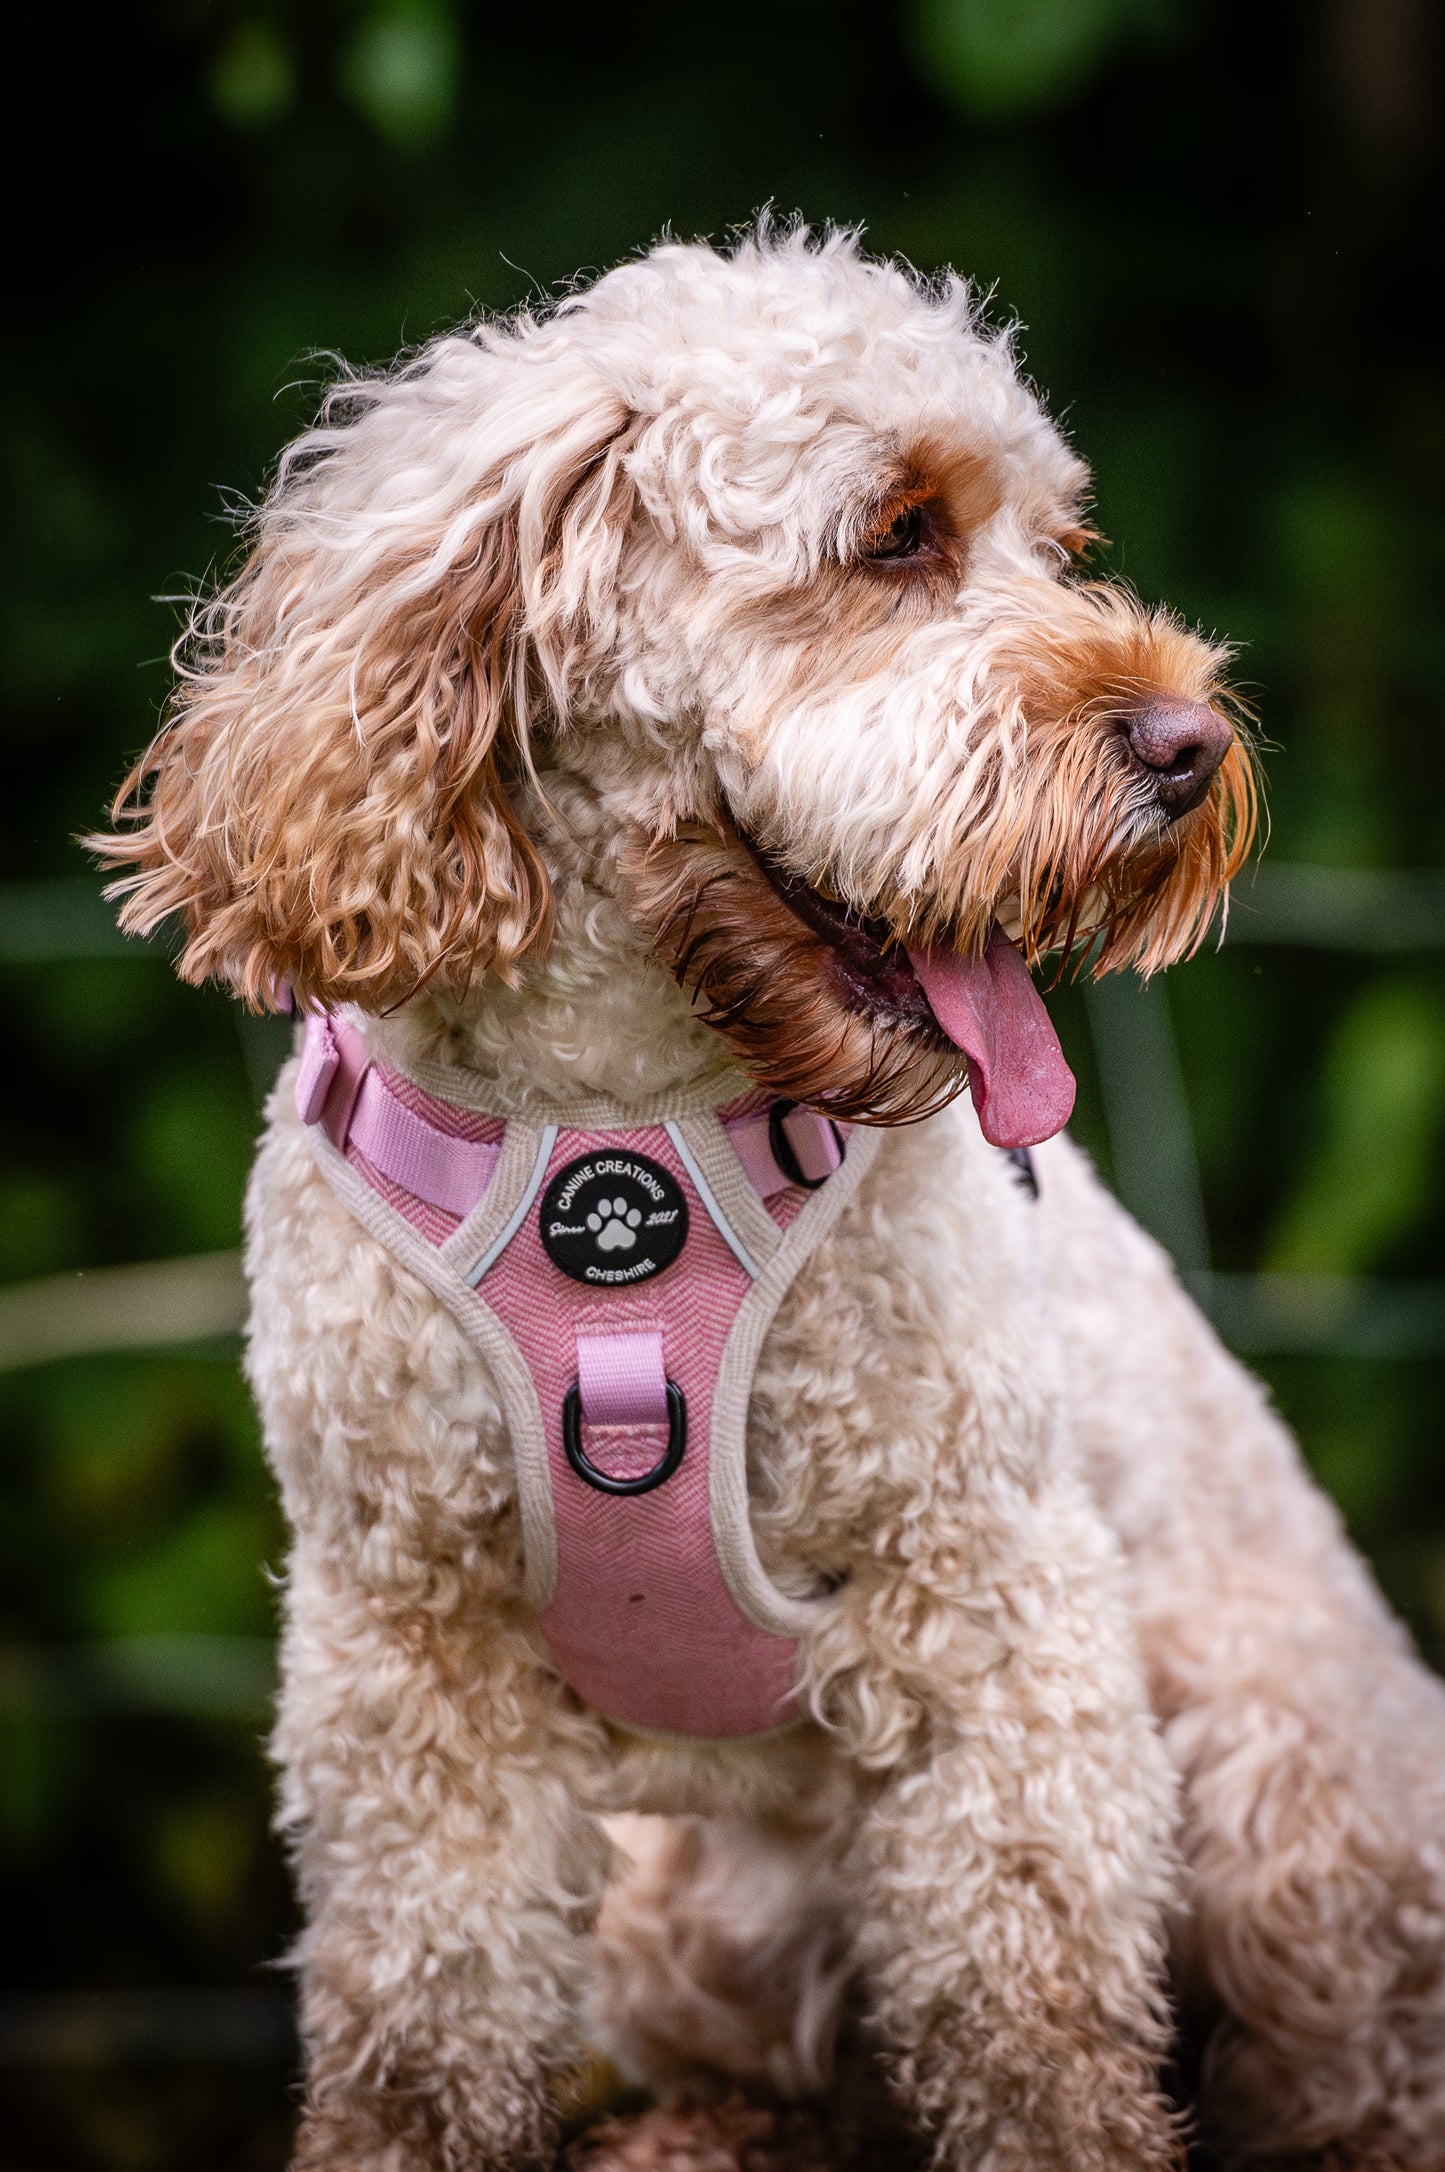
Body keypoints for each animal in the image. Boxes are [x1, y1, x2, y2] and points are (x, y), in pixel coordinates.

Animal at [95, 229, 1442, 2163]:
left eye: (1058, 544)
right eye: (896, 537)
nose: (1193, 744)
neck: (620, 1137)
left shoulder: (996, 1616)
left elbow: (1032, 2023)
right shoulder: (406, 1663)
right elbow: (424, 2025)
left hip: (1287, 1798)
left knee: (1350, 2072)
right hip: (683, 1908)